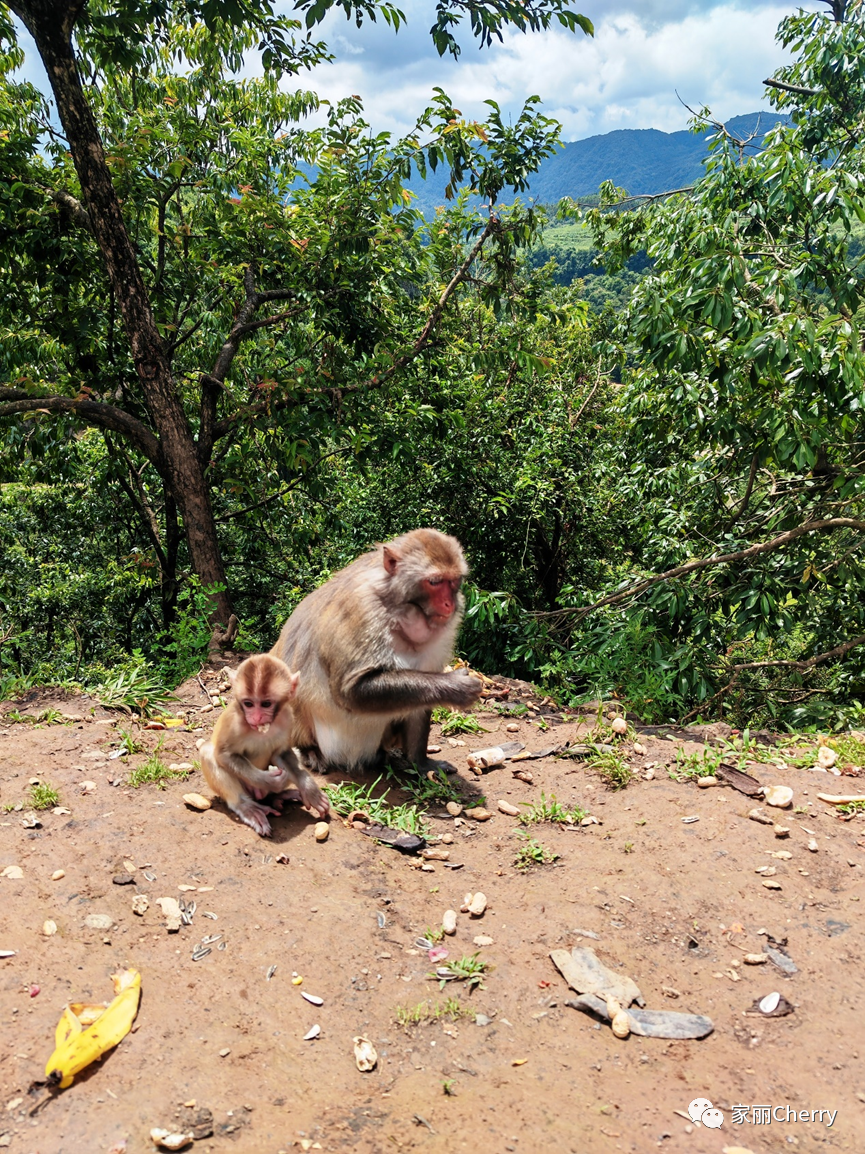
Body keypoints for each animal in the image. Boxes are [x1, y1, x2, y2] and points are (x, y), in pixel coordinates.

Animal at [201, 655, 329, 835]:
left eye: (266, 704)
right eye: (248, 704)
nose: (256, 718)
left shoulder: (287, 717)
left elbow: (282, 753)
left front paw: (309, 789)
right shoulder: (233, 722)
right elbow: (224, 754)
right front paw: (267, 781)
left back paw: (278, 796)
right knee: (208, 753)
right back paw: (247, 807)